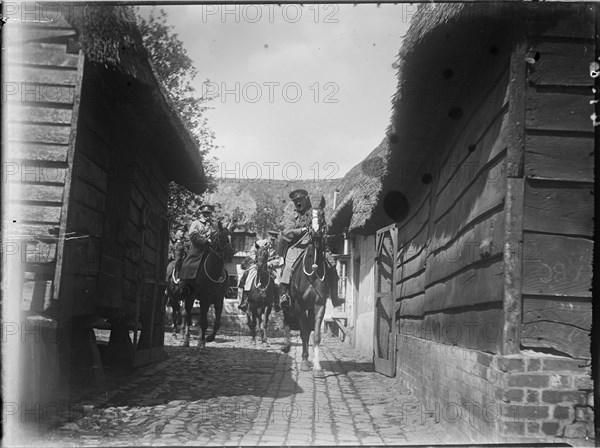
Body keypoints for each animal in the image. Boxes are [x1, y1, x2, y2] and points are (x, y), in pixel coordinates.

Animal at [282, 198, 332, 376]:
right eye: (309, 215)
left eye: (322, 214)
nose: (316, 232)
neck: (312, 271)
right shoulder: (299, 306)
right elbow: (303, 333)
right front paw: (304, 362)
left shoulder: (319, 305)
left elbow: (314, 335)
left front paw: (317, 367)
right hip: (287, 304)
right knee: (287, 320)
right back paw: (286, 345)